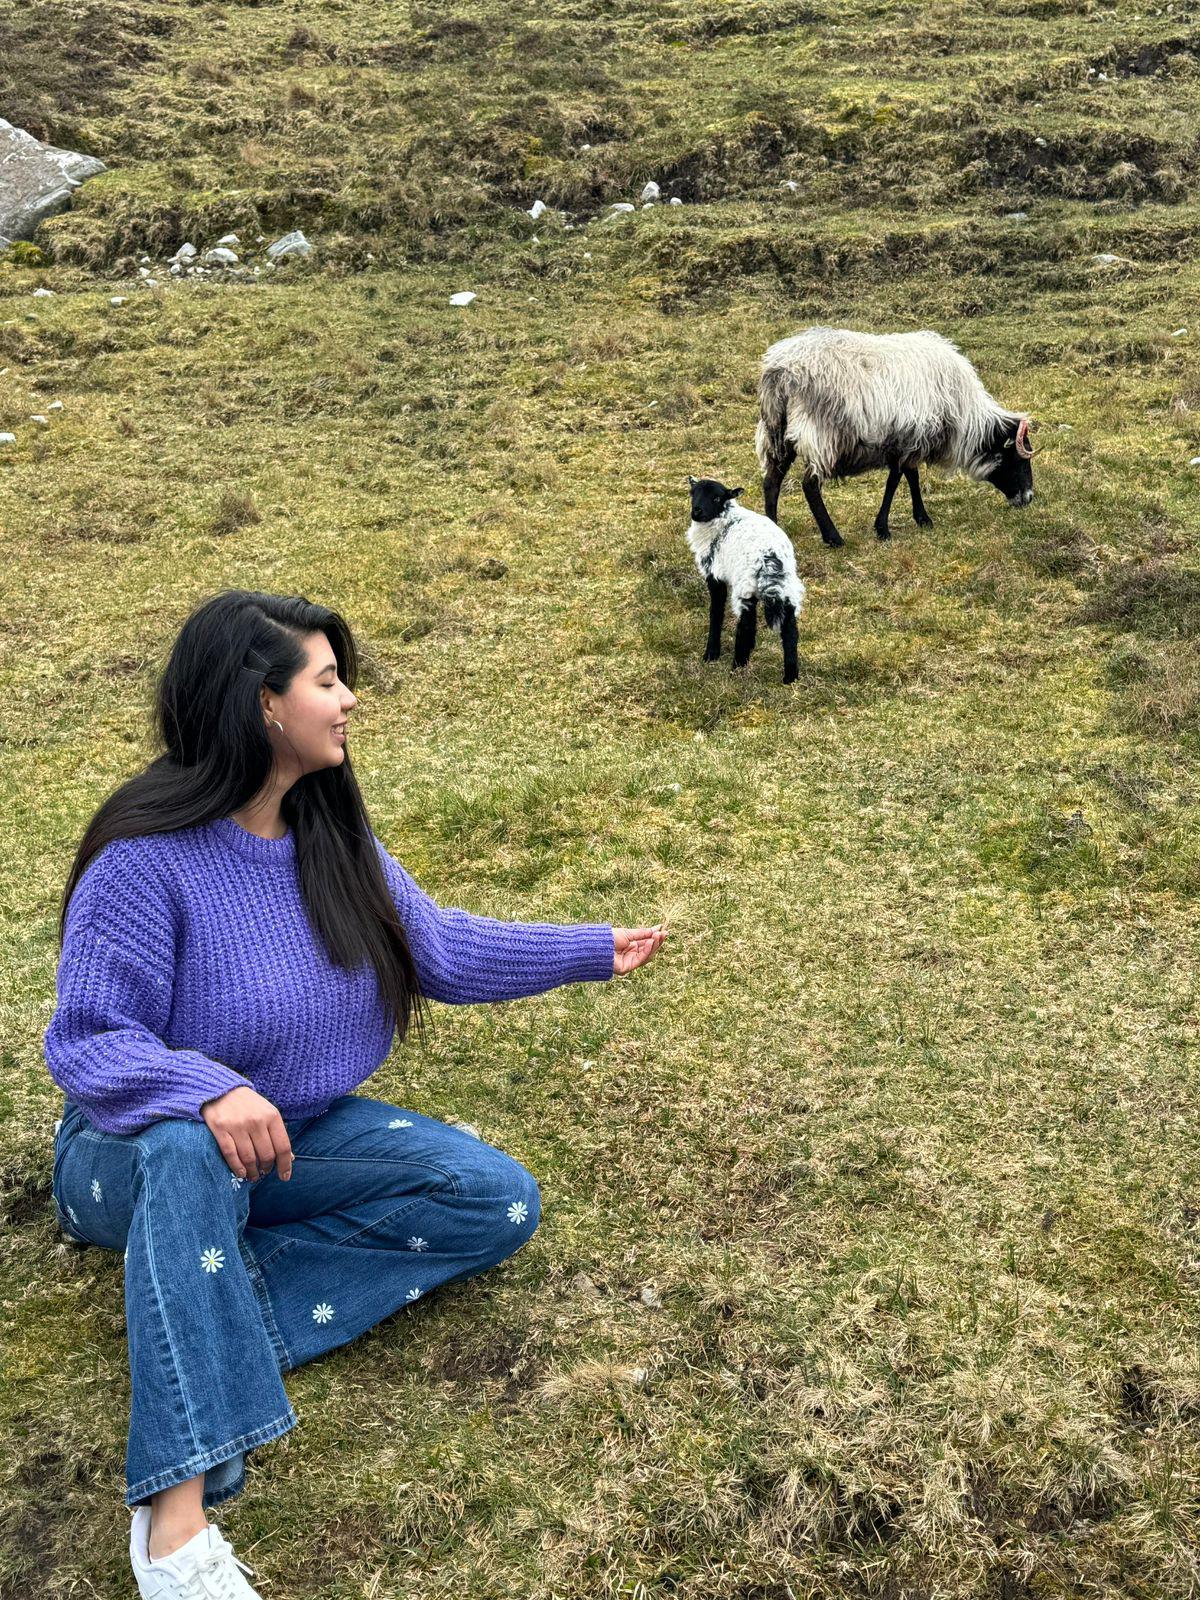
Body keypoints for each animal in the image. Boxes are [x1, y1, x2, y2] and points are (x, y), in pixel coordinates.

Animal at [684, 470, 809, 678]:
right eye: (693, 493)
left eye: (717, 498)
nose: (697, 512)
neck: (724, 518)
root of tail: (770, 558)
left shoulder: (715, 574)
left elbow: (716, 612)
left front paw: (711, 654)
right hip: (787, 585)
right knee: (790, 627)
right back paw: (790, 676)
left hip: (745, 584)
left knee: (746, 623)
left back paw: (738, 666)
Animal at [755, 328, 1036, 547]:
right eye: (1018, 459)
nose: (1029, 498)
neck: (964, 418)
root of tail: (782, 371)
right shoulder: (906, 440)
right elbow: (896, 480)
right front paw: (884, 528)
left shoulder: (908, 440)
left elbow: (911, 477)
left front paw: (921, 518)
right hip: (822, 434)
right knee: (810, 485)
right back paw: (834, 538)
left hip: (776, 432)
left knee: (771, 481)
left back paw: (773, 528)